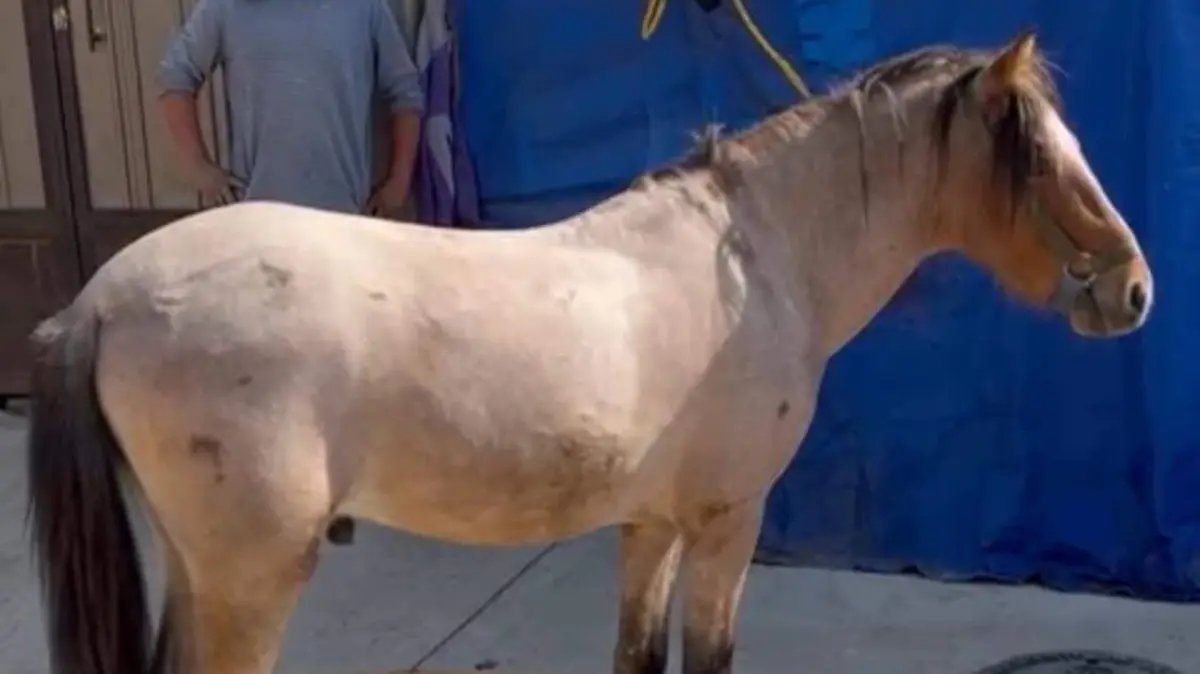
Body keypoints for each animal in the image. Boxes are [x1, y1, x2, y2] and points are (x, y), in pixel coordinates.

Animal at [25, 31, 1152, 674]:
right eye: (1035, 154)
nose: (1133, 289)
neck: (756, 257)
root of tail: (98, 302)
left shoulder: (649, 523)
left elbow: (636, 656)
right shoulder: (725, 523)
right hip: (251, 578)